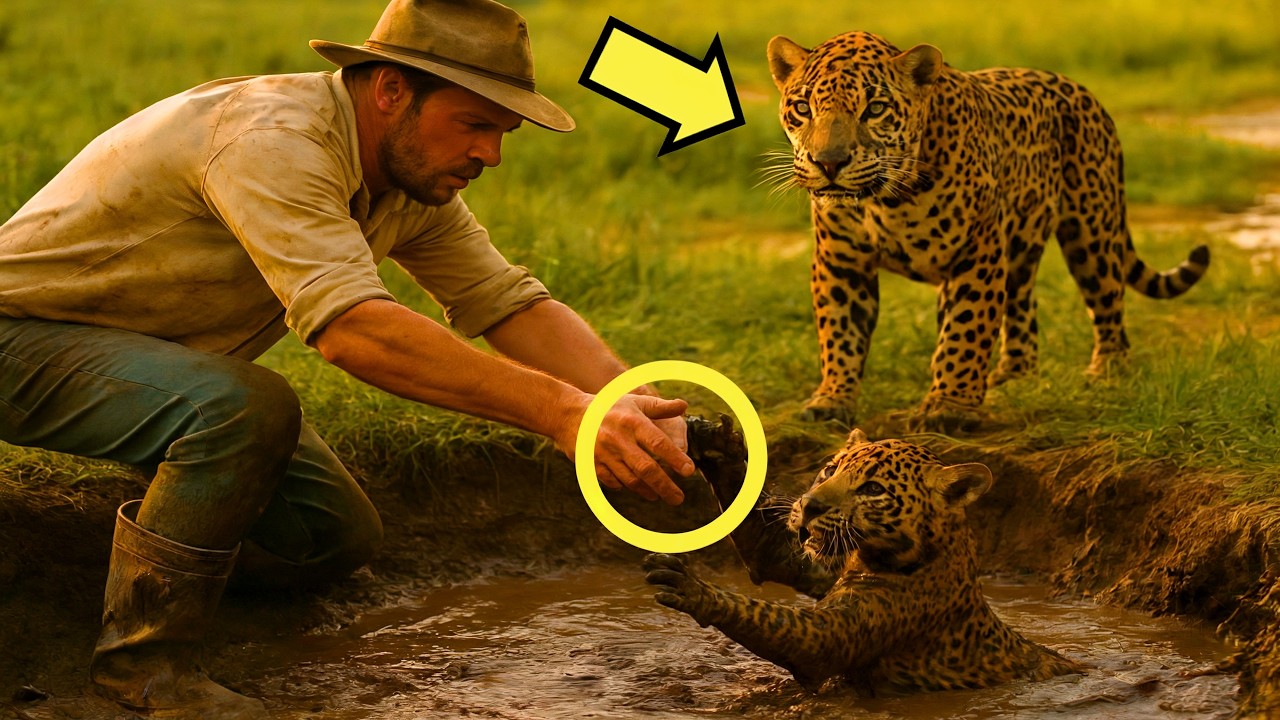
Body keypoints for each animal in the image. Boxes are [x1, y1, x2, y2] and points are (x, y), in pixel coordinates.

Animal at [645, 419, 1084, 695]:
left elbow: (769, 616)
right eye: (829, 470)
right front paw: (718, 447)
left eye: (872, 489)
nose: (810, 506)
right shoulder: (818, 565)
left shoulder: (833, 633)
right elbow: (768, 550)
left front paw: (691, 587)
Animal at [765, 31, 1210, 429]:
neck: (886, 199)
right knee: (1021, 306)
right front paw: (831, 400)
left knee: (1108, 302)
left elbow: (966, 328)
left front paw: (949, 408)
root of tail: (1080, 88)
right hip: (1020, 247)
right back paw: (1013, 376)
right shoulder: (841, 260)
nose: (829, 162)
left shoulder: (975, 253)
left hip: (1092, 229)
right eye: (802, 107)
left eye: (875, 109)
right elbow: (840, 332)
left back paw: (1108, 371)